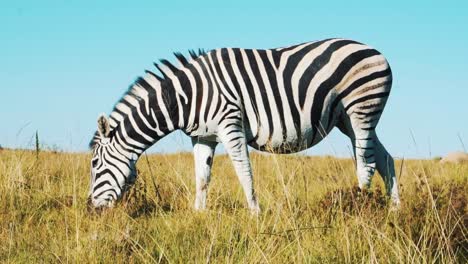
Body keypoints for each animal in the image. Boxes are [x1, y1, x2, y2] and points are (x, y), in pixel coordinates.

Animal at [89, 38, 400, 212]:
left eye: (94, 165)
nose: (90, 210)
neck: (185, 97)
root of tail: (376, 51)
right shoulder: (203, 137)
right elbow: (202, 177)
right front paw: (198, 215)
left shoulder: (231, 126)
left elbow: (244, 173)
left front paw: (255, 215)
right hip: (347, 120)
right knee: (385, 159)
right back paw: (393, 210)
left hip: (361, 111)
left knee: (367, 163)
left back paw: (358, 207)